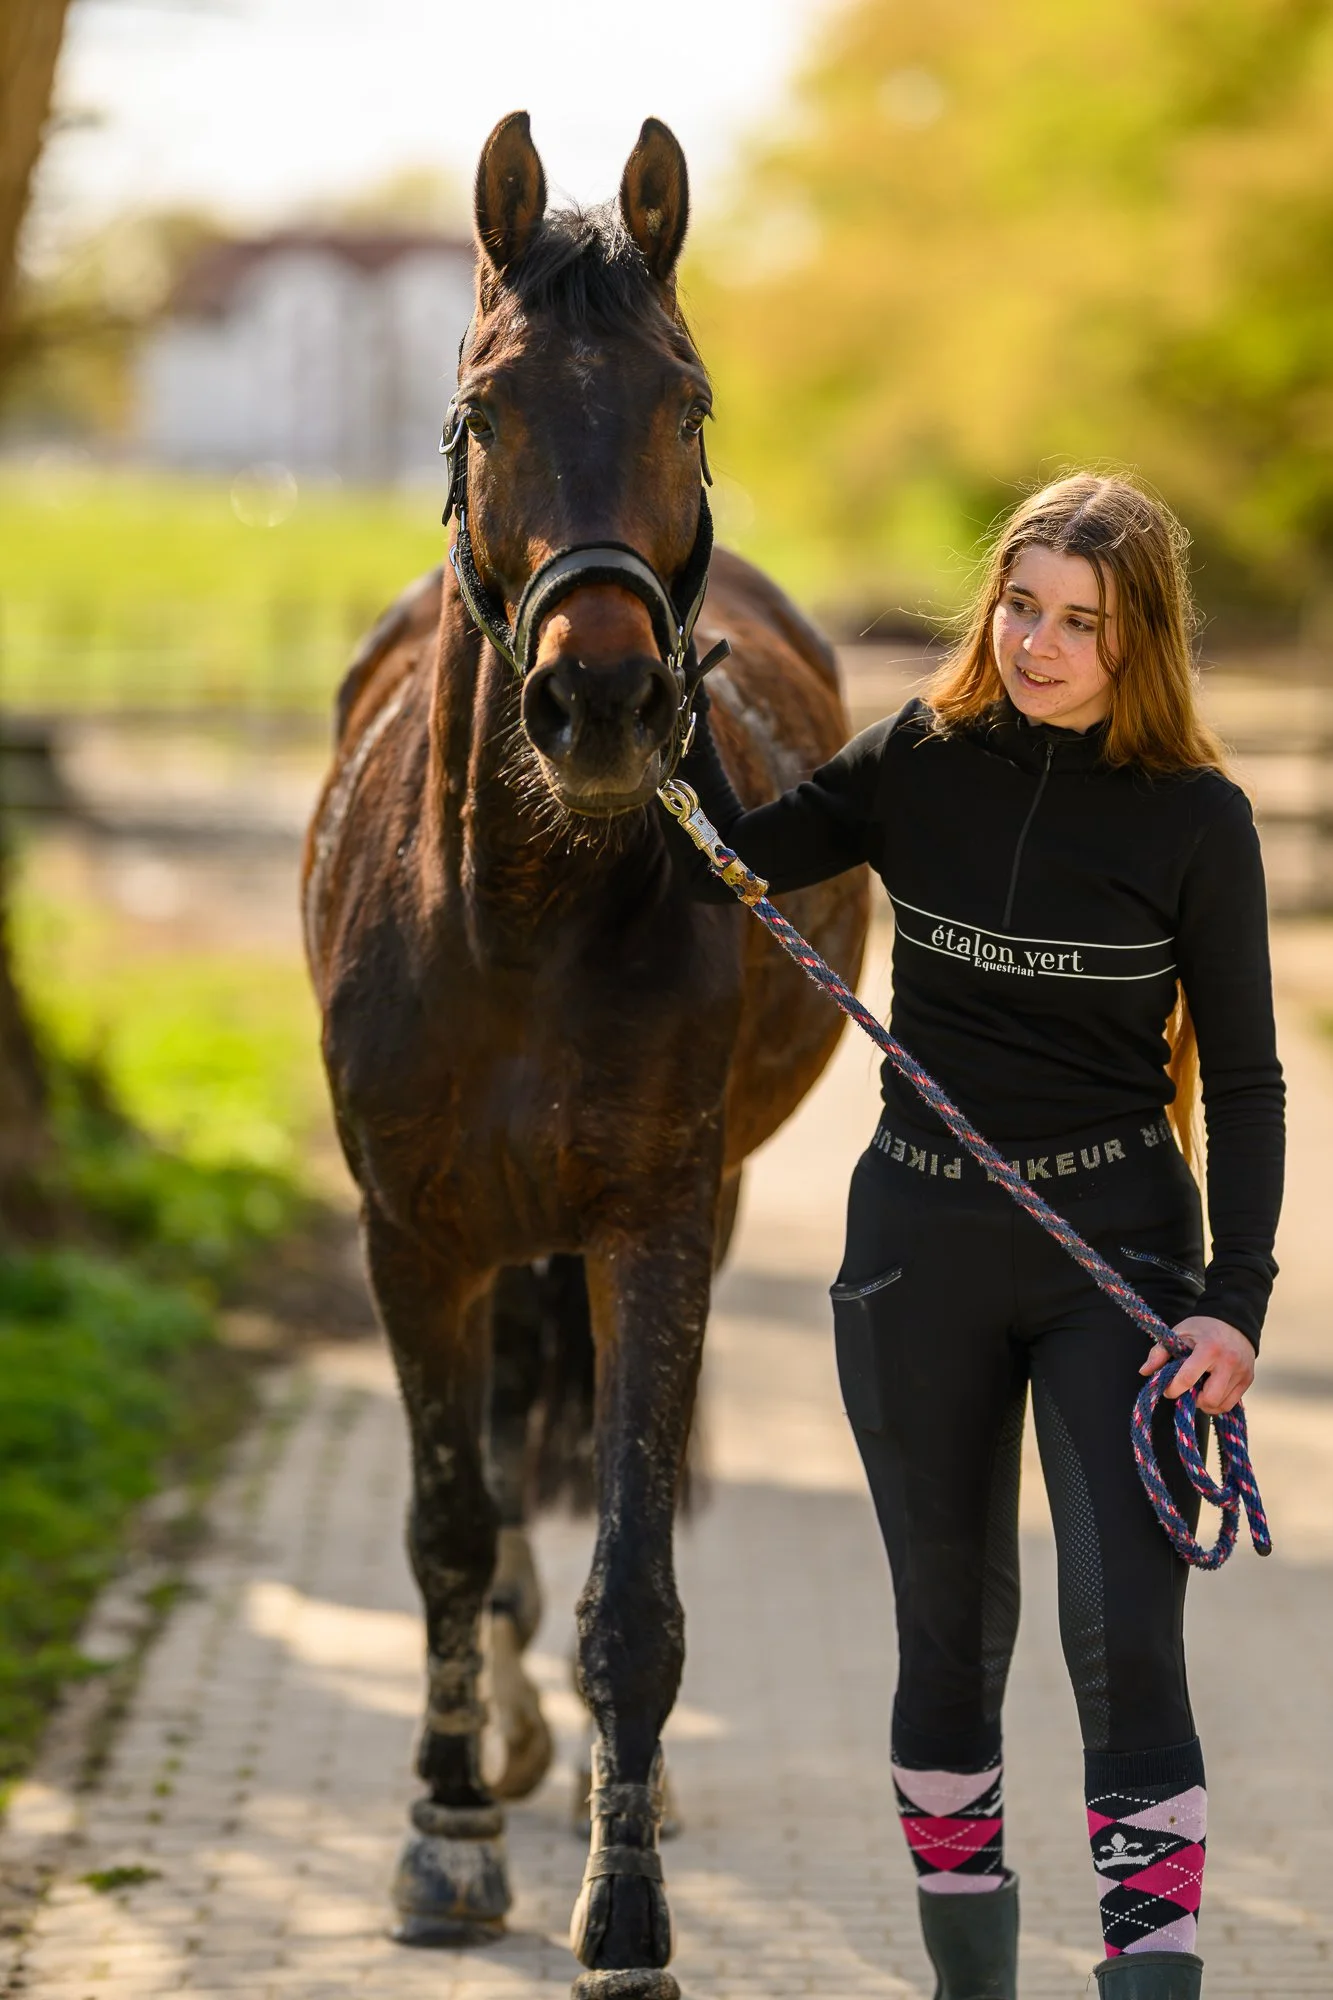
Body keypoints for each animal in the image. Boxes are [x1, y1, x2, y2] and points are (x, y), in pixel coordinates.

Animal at [302, 110, 869, 2000]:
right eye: (484, 412)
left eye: (687, 406)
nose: (605, 704)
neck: (515, 916)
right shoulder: (411, 1237)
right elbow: (449, 1524)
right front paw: (445, 1831)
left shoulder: (655, 1227)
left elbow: (635, 1582)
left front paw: (624, 1913)